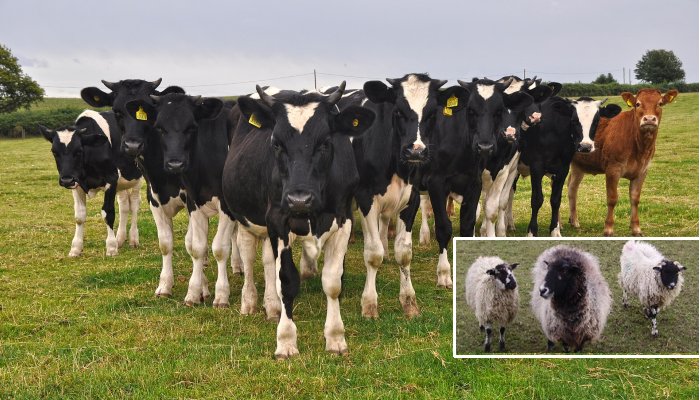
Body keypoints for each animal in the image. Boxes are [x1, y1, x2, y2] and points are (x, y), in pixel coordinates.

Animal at [41, 110, 142, 257]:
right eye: (54, 152)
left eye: (79, 151)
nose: (66, 180)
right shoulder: (77, 183)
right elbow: (79, 216)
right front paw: (76, 248)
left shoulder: (111, 180)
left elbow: (108, 213)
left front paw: (111, 247)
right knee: (124, 205)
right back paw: (120, 238)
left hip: (137, 178)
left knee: (134, 204)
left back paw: (133, 239)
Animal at [124, 93, 237, 308]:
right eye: (159, 127)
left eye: (191, 127)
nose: (175, 163)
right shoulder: (180, 202)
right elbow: (187, 246)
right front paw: (181, 289)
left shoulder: (226, 206)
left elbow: (219, 248)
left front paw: (220, 295)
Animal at [221, 83, 375, 358]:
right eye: (276, 143)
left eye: (325, 143)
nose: (299, 199)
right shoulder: (278, 219)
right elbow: (287, 281)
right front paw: (285, 340)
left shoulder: (343, 218)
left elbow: (332, 282)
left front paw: (335, 337)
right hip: (246, 217)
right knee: (248, 257)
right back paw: (249, 302)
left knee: (267, 261)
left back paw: (272, 307)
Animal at [517, 96, 621, 236]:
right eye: (574, 120)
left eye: (597, 120)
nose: (585, 146)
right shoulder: (536, 167)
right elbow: (537, 199)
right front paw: (532, 232)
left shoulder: (563, 169)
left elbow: (555, 200)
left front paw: (555, 231)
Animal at [568, 89, 678, 236]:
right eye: (638, 104)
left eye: (660, 103)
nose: (649, 119)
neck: (639, 148)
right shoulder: (613, 169)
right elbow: (612, 198)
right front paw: (608, 229)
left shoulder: (642, 171)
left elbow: (635, 199)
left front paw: (636, 228)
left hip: (578, 165)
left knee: (572, 188)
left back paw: (574, 221)